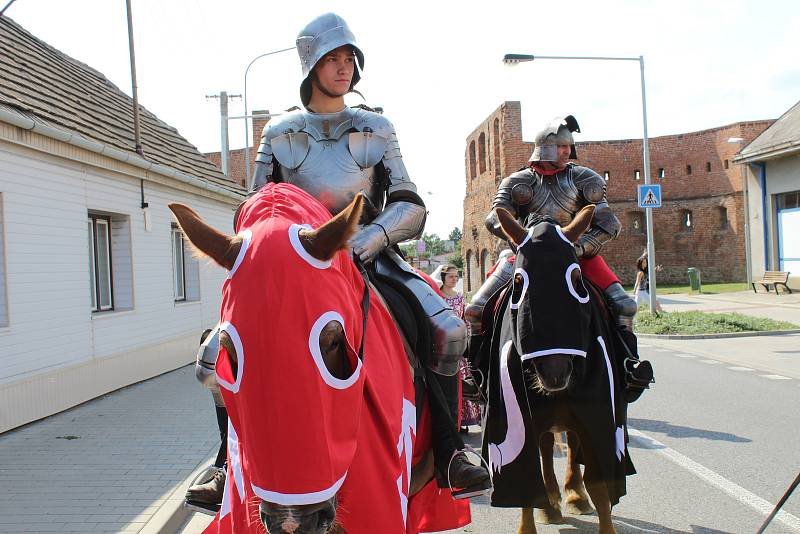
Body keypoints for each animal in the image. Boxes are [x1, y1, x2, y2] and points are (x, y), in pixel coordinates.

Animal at [478, 208, 636, 534]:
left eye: (576, 278)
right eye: (517, 281)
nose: (555, 372)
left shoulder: (599, 415)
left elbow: (600, 484)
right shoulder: (520, 418)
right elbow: (525, 480)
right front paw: (535, 516)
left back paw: (574, 495)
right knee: (546, 448)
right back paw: (550, 503)